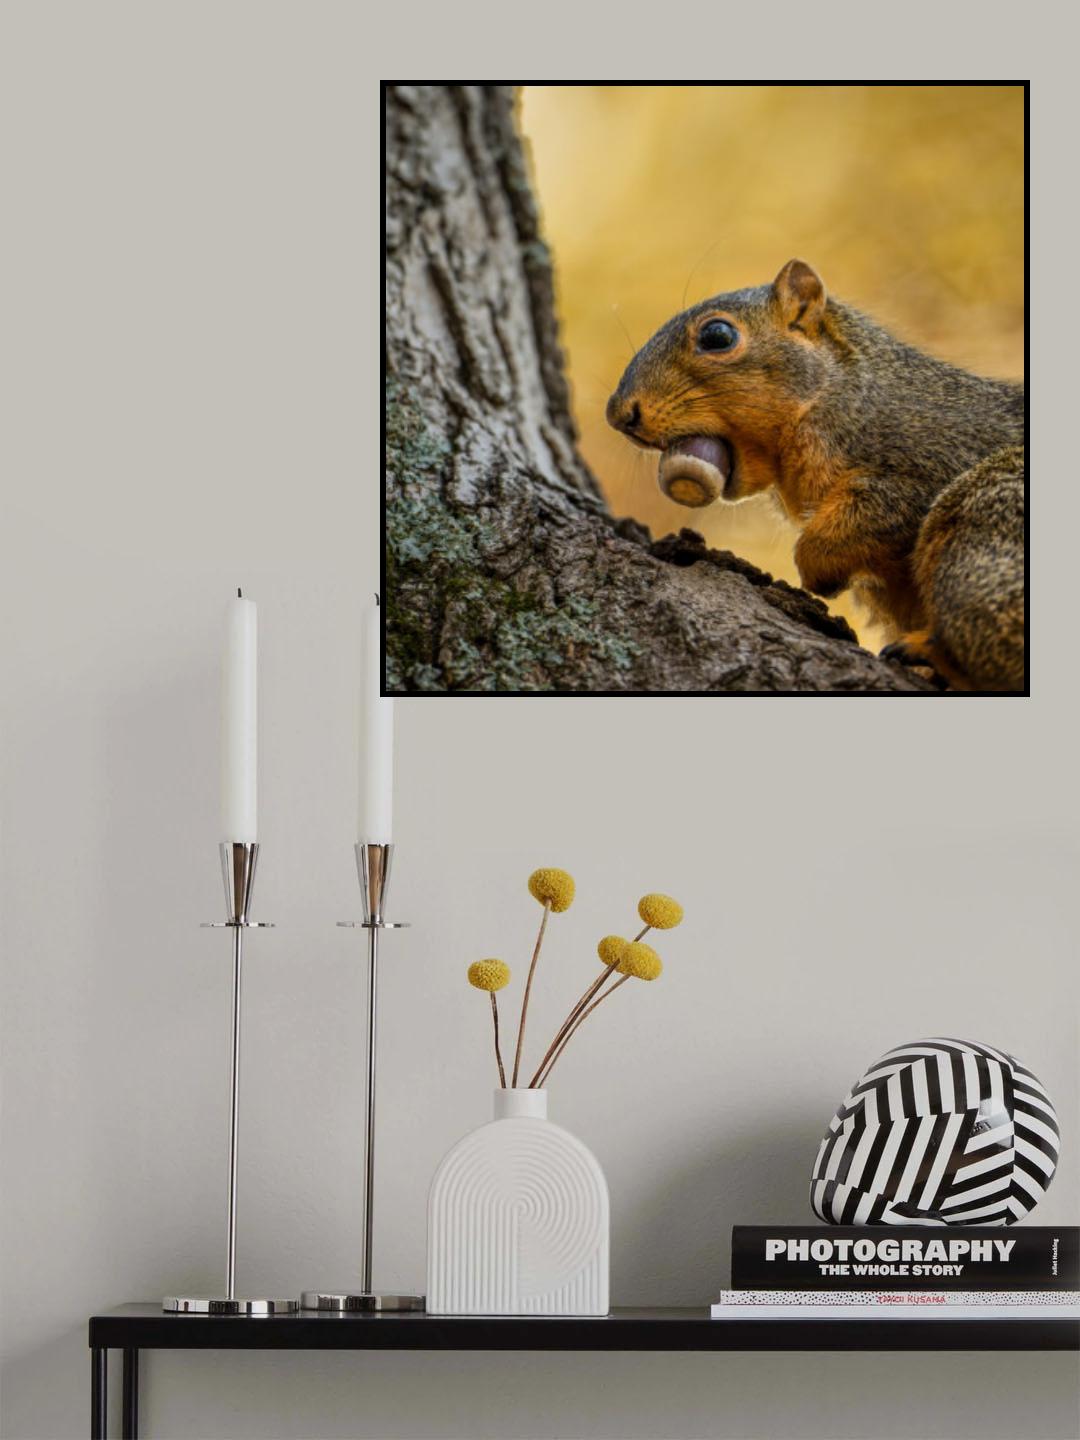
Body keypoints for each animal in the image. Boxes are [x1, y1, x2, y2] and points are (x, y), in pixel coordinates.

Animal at [606, 259, 1026, 692]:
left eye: (717, 336)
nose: (619, 413)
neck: (839, 396)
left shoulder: (928, 460)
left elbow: (878, 514)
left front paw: (817, 569)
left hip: (984, 521)